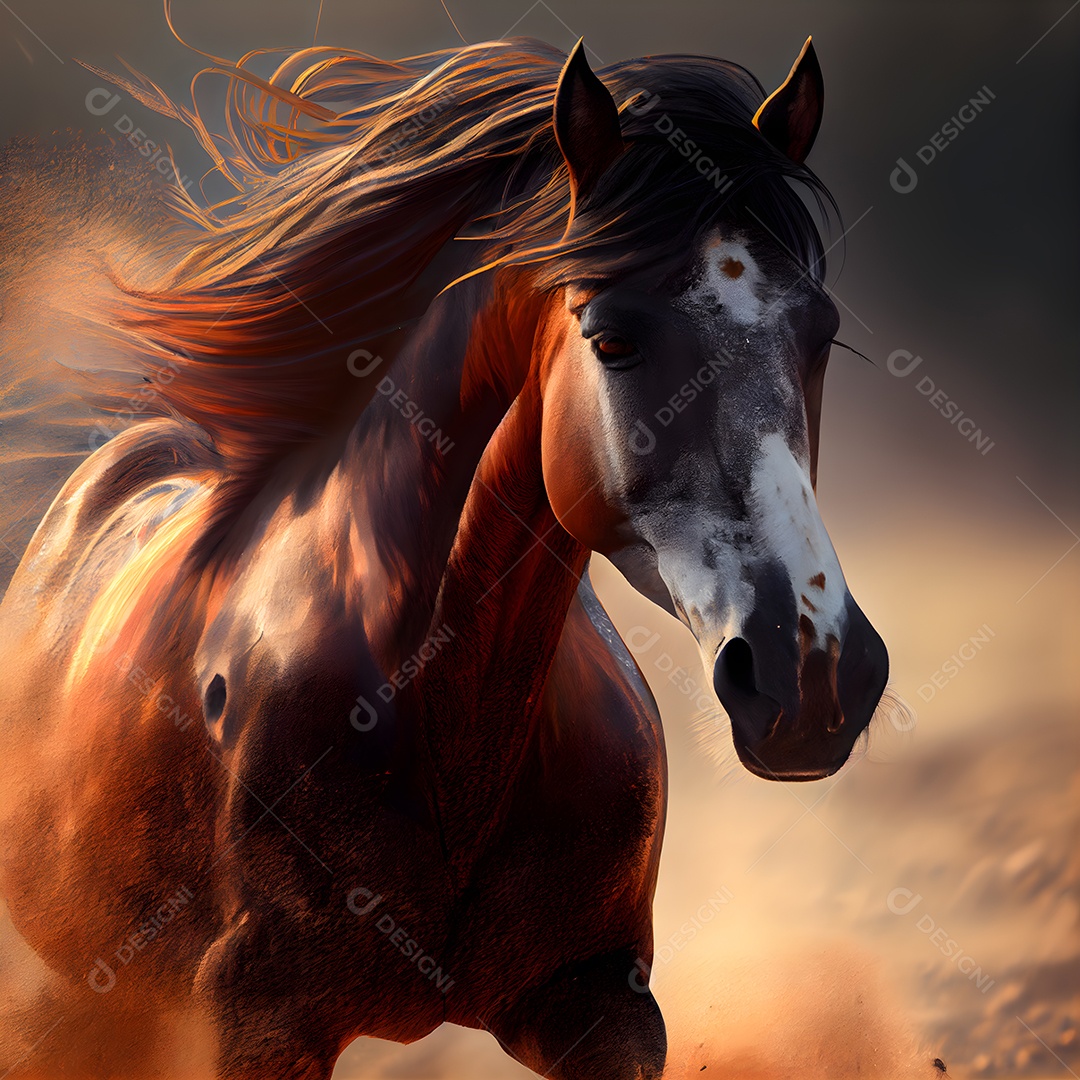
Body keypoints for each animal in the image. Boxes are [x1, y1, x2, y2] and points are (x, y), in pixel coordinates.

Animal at [0, 28, 888, 1080]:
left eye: (821, 331)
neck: (442, 710)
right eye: (613, 340)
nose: (813, 675)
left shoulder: (603, 1004)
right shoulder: (259, 1020)